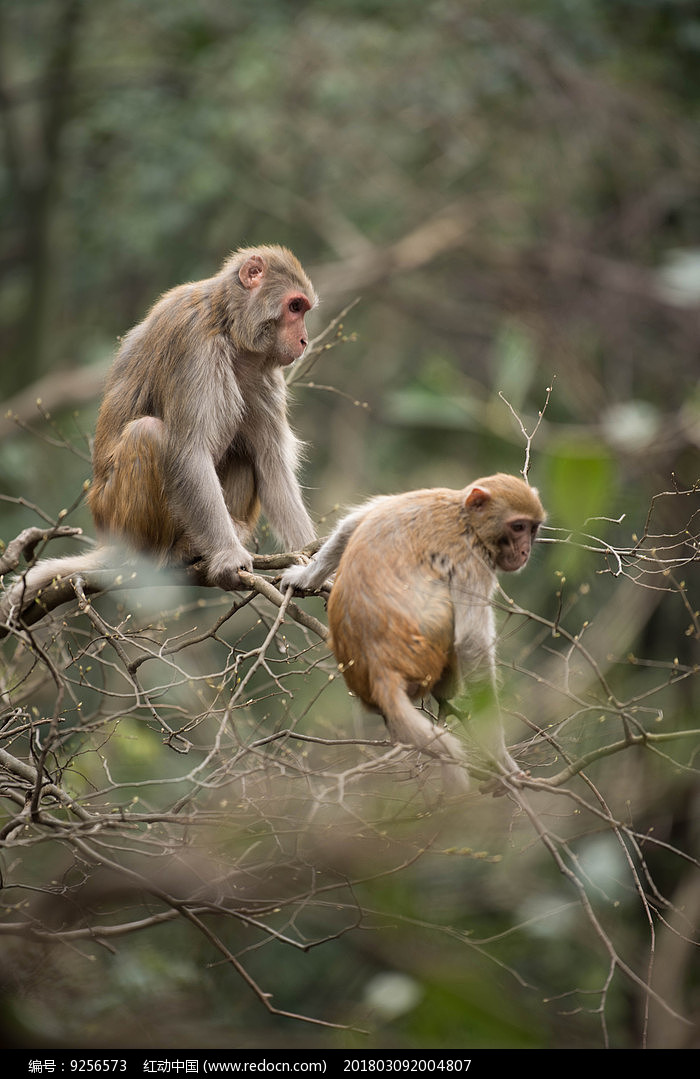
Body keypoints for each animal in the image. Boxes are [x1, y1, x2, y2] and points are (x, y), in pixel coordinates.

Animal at [2, 240, 317, 621]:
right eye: (295, 306)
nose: (303, 340)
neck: (229, 325)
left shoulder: (265, 373)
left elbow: (271, 464)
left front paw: (315, 563)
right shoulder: (192, 342)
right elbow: (188, 451)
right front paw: (228, 558)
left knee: (243, 451)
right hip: (116, 517)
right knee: (149, 434)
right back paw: (164, 555)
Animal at [280, 472, 543, 794]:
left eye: (533, 528)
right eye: (517, 527)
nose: (525, 551)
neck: (464, 515)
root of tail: (379, 668)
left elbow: (353, 525)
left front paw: (303, 577)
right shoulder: (472, 559)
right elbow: (472, 643)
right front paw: (501, 759)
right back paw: (447, 690)